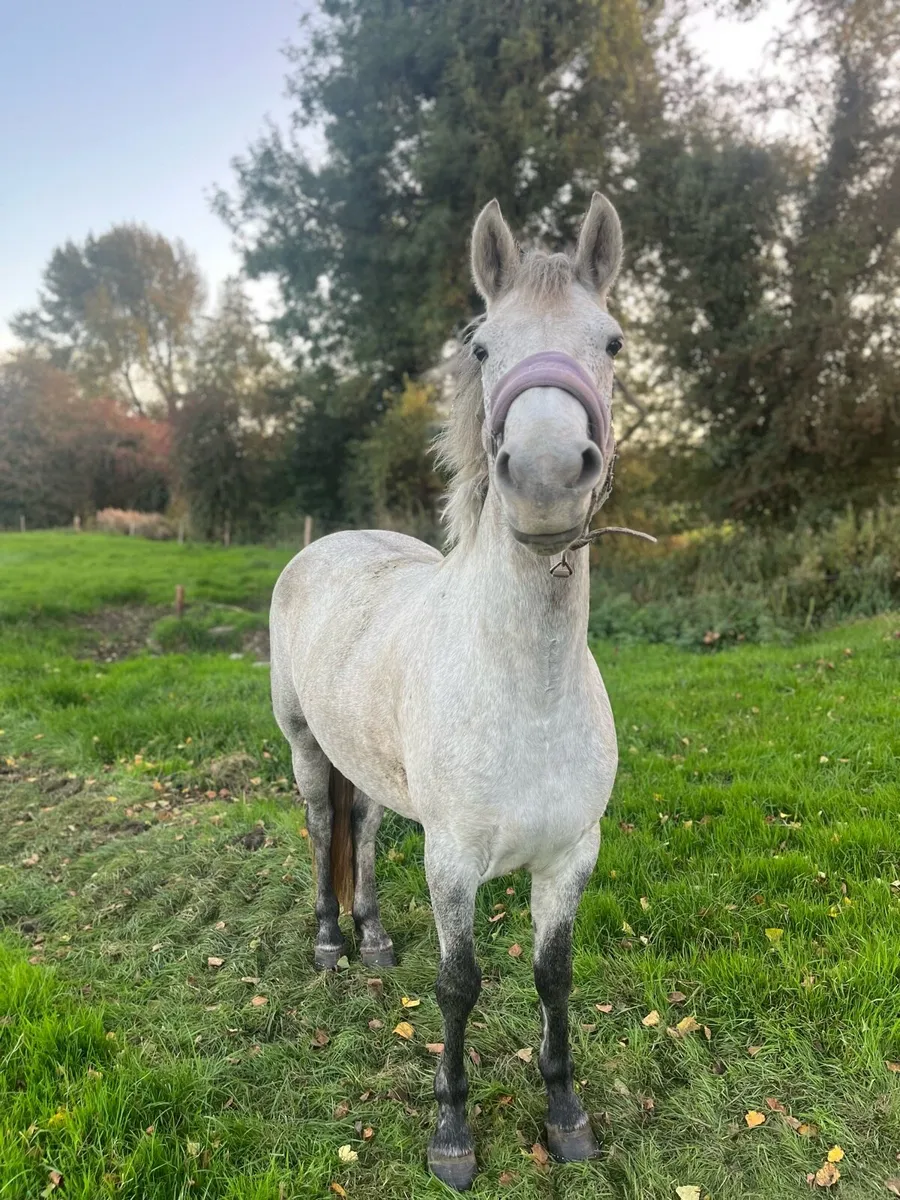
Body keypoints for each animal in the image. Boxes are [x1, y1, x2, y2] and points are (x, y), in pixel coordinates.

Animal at [271, 192, 631, 1191]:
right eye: (480, 346)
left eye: (614, 341)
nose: (546, 474)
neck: (527, 693)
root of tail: (329, 542)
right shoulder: (454, 863)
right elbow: (459, 986)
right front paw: (453, 1134)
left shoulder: (569, 858)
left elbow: (554, 979)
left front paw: (566, 1118)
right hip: (304, 747)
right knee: (322, 829)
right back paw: (330, 944)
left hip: (373, 771)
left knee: (363, 829)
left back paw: (374, 939)